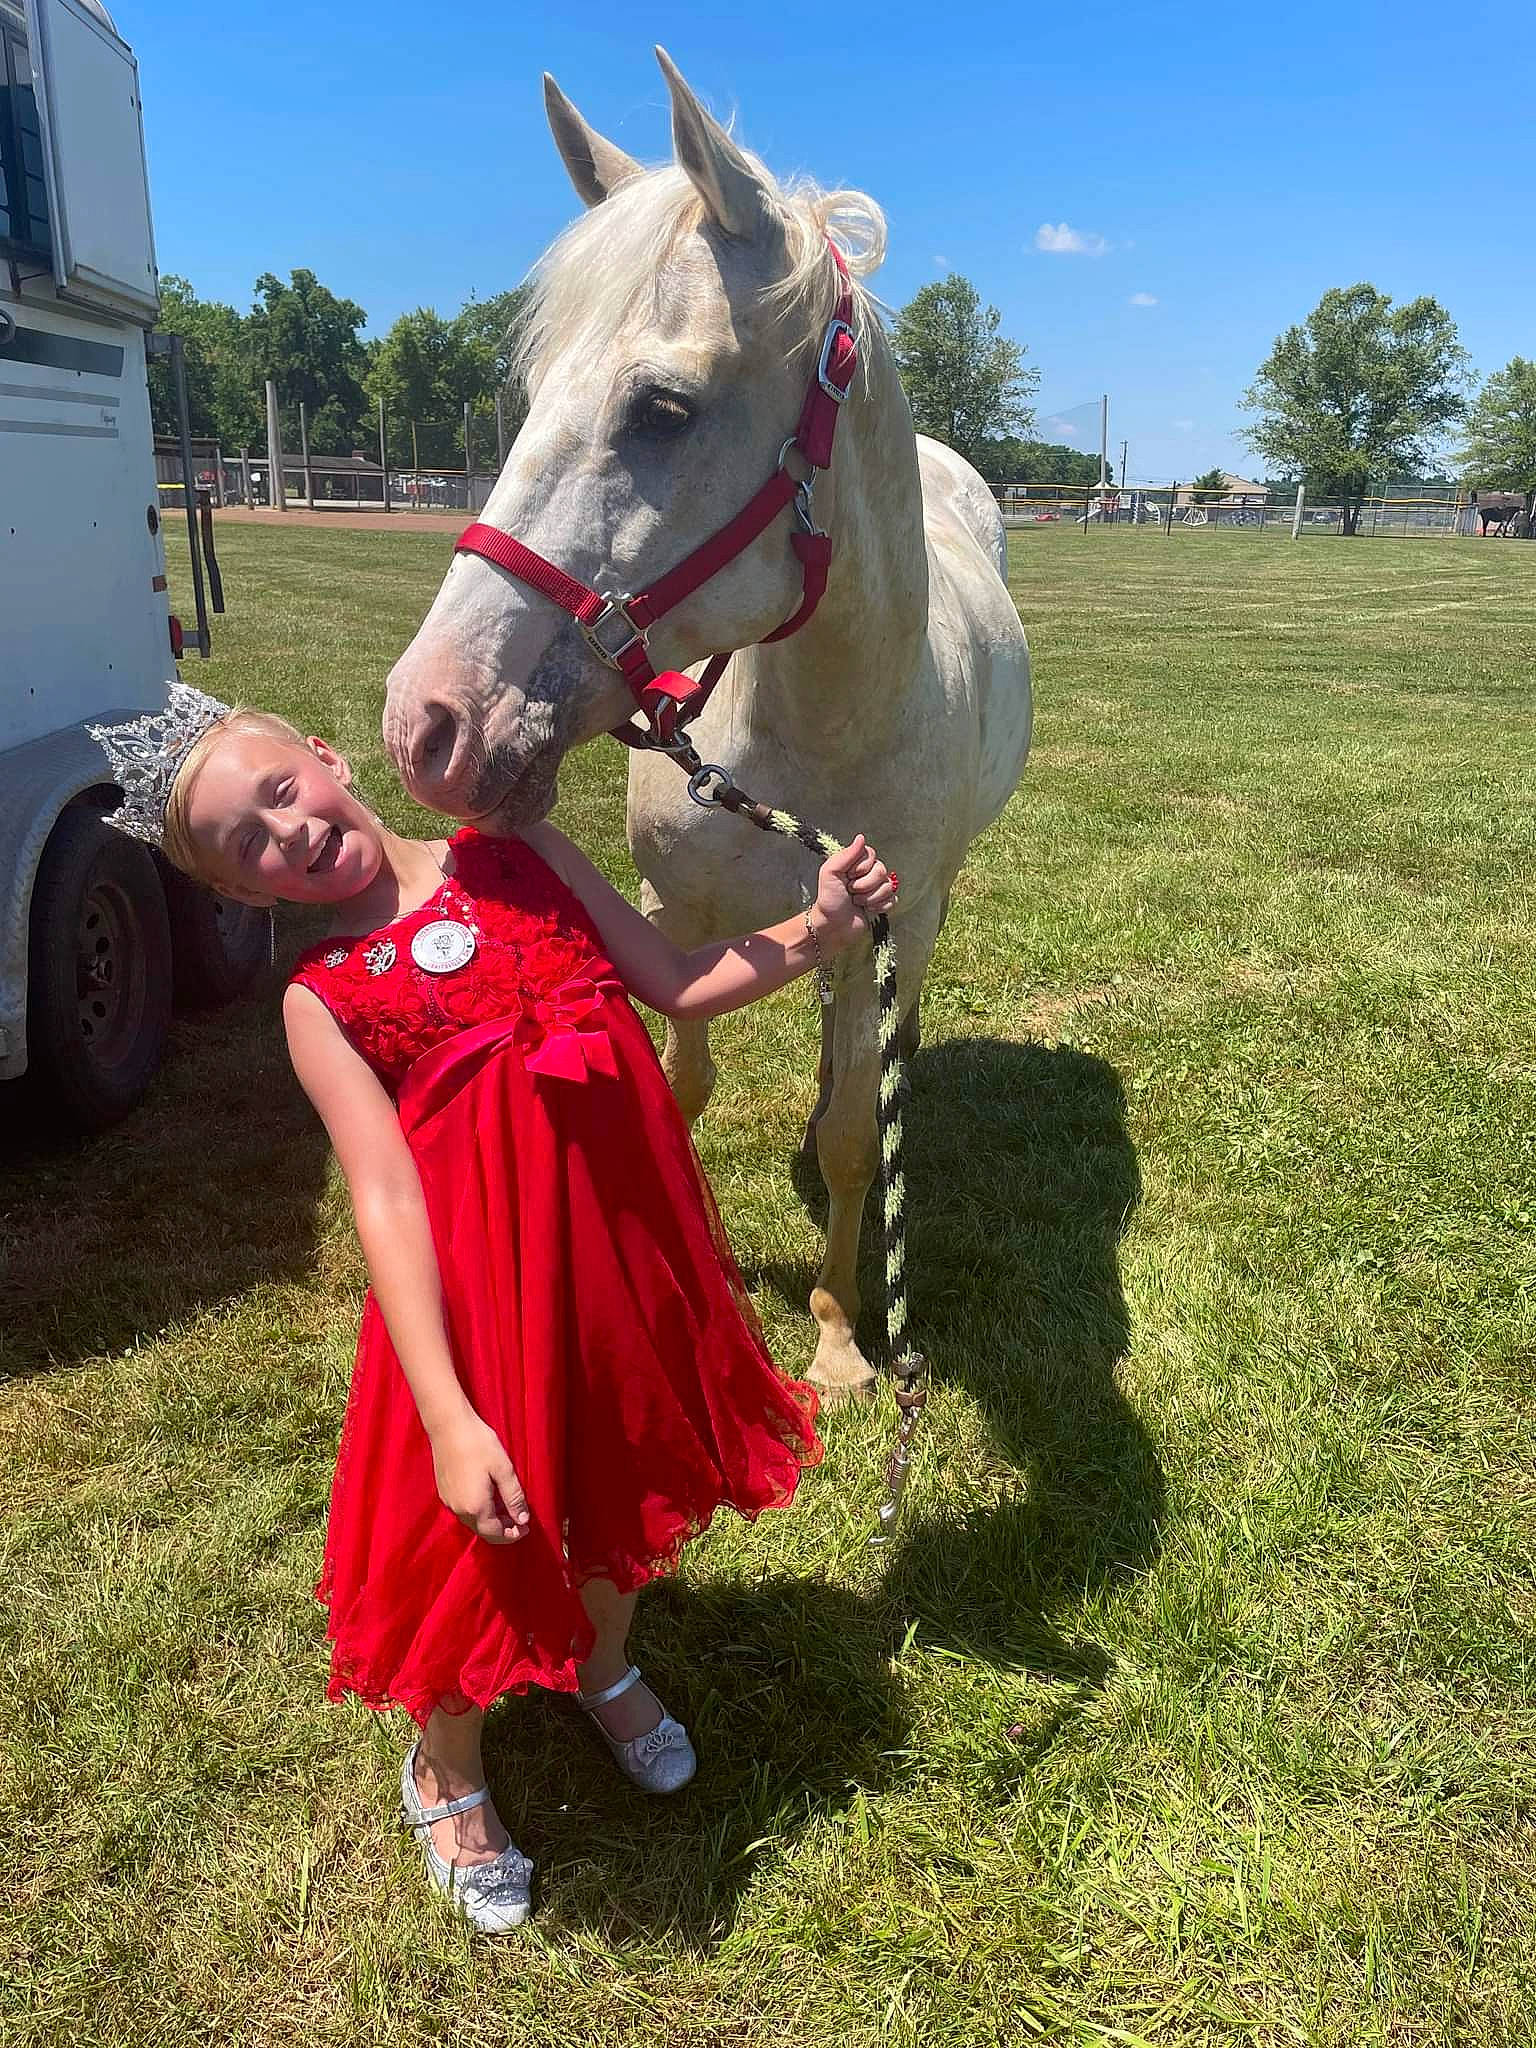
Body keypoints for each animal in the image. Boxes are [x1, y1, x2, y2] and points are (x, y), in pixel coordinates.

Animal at [382, 48, 1033, 1401]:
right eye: (531, 394)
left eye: (665, 410)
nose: (430, 720)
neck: (812, 729)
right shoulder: (673, 912)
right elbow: (684, 1082)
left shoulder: (891, 916)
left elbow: (854, 1140)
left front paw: (838, 1331)